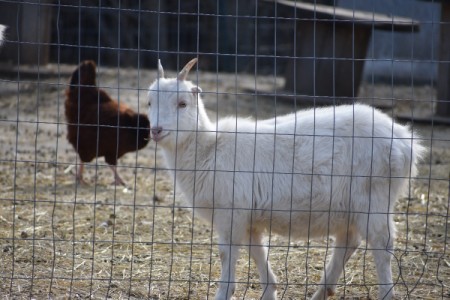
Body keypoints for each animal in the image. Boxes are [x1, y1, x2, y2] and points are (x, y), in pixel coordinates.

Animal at [148, 58, 426, 300]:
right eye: (149, 102)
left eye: (183, 104)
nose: (156, 130)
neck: (208, 148)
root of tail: (406, 140)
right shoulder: (249, 217)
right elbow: (257, 251)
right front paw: (270, 290)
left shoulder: (231, 212)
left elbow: (227, 254)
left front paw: (224, 293)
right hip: (350, 206)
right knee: (348, 242)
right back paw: (322, 292)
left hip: (375, 196)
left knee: (382, 244)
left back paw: (384, 293)